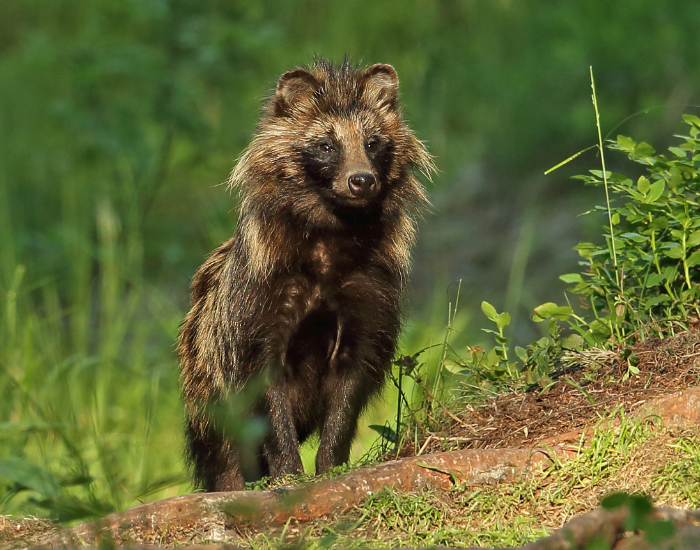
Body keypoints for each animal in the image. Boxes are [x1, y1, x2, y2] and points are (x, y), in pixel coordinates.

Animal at [179, 59, 434, 491]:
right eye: (325, 145)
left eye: (373, 142)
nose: (362, 181)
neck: (330, 243)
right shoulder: (258, 302)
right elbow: (265, 393)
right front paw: (288, 471)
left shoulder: (368, 298)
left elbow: (349, 389)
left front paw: (331, 463)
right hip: (204, 391)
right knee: (224, 457)